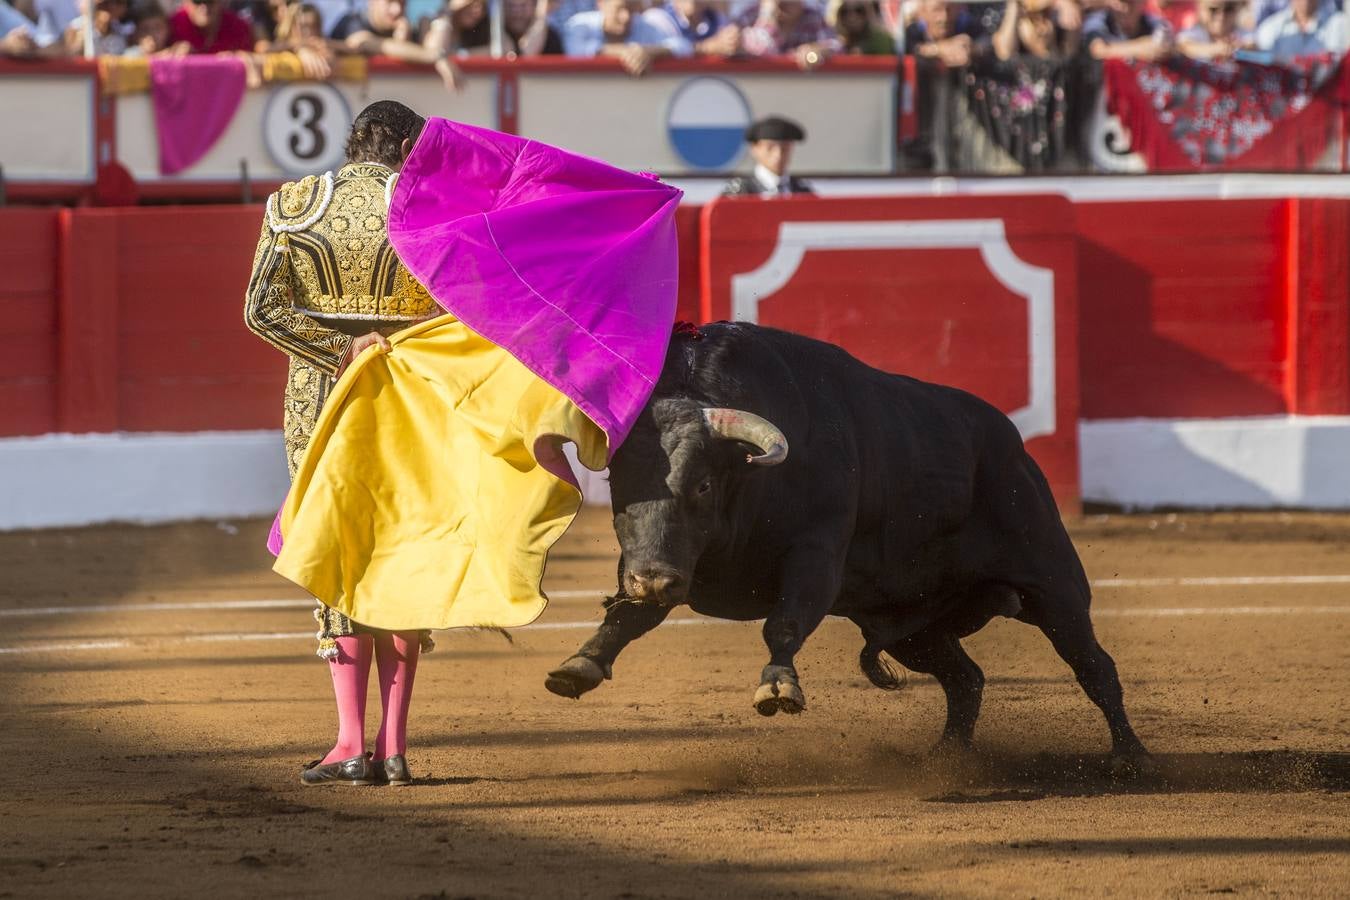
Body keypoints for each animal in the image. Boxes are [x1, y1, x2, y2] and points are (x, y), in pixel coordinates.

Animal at [542, 319, 1144, 766]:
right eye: (619, 485)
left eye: (703, 484)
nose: (654, 580)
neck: (748, 479)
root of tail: (1012, 444)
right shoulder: (660, 560)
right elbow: (628, 615)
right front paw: (580, 665)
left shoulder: (816, 553)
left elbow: (784, 622)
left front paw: (779, 688)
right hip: (913, 627)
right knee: (965, 679)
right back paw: (945, 758)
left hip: (1053, 582)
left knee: (1093, 665)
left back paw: (1128, 758)